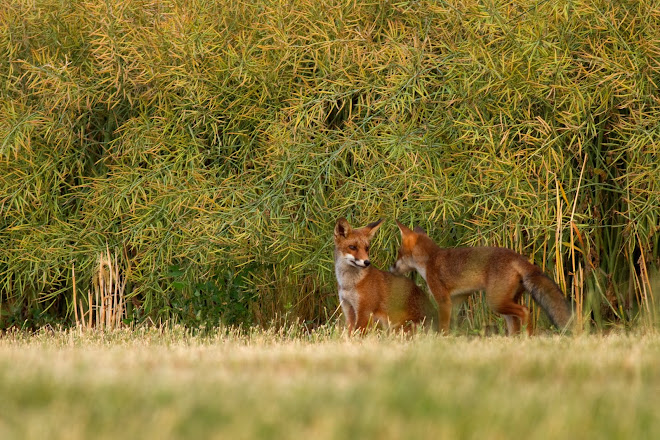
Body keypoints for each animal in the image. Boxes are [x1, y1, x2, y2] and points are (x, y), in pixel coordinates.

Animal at [392, 220, 572, 334]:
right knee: (515, 324)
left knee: (525, 311)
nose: (391, 268)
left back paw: (528, 338)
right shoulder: (456, 300)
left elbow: (443, 327)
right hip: (504, 304)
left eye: (398, 254)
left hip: (495, 302)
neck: (430, 259)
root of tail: (517, 257)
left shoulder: (443, 300)